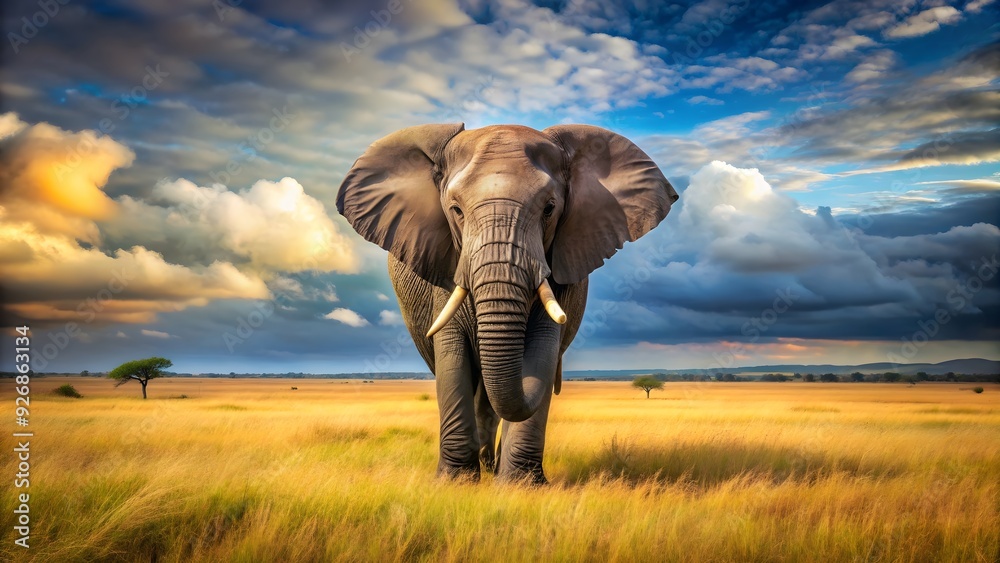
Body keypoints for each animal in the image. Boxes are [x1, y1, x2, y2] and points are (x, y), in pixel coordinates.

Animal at [337, 123, 677, 483]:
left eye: (549, 208)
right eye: (456, 210)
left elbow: (542, 348)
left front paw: (519, 485)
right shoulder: (445, 268)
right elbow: (453, 356)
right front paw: (455, 483)